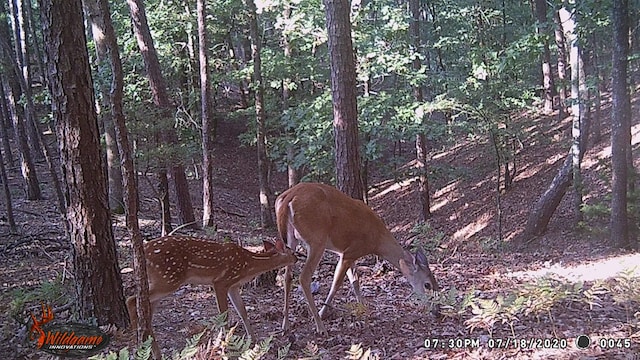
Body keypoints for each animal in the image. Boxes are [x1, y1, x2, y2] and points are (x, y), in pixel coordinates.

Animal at [127, 235, 298, 338]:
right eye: (291, 251)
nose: (297, 258)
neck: (248, 266)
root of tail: (142, 253)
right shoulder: (221, 281)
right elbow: (224, 314)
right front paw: (225, 342)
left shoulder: (233, 285)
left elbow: (243, 311)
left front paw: (253, 340)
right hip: (168, 278)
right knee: (132, 299)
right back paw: (136, 335)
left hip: (161, 280)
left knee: (147, 306)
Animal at [280, 183, 440, 334]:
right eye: (427, 285)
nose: (437, 311)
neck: (377, 241)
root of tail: (288, 197)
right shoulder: (350, 252)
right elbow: (337, 284)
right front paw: (322, 312)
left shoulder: (347, 253)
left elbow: (355, 281)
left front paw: (363, 308)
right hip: (316, 239)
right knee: (303, 277)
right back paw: (320, 326)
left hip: (291, 240)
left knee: (287, 276)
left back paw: (285, 324)